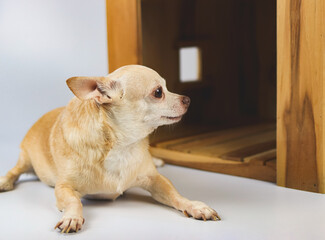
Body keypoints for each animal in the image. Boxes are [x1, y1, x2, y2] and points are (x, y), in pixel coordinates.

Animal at [0, 65, 219, 232]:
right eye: (158, 92)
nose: (187, 99)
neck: (122, 145)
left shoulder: (155, 179)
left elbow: (176, 195)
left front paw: (194, 206)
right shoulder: (64, 187)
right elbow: (74, 201)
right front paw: (73, 217)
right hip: (26, 159)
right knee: (15, 170)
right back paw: (5, 181)